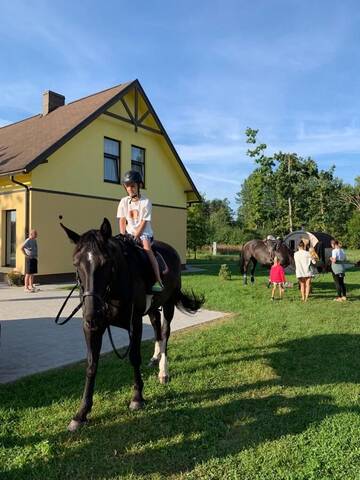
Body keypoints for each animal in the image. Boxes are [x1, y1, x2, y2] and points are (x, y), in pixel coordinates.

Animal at [60, 218, 204, 432]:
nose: (92, 313)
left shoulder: (134, 322)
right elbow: (91, 365)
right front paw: (81, 413)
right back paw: (155, 357)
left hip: (169, 303)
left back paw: (163, 372)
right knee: (156, 327)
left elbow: (134, 357)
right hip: (153, 307)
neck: (113, 289)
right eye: (76, 263)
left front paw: (137, 398)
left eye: (106, 262)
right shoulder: (92, 327)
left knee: (165, 332)